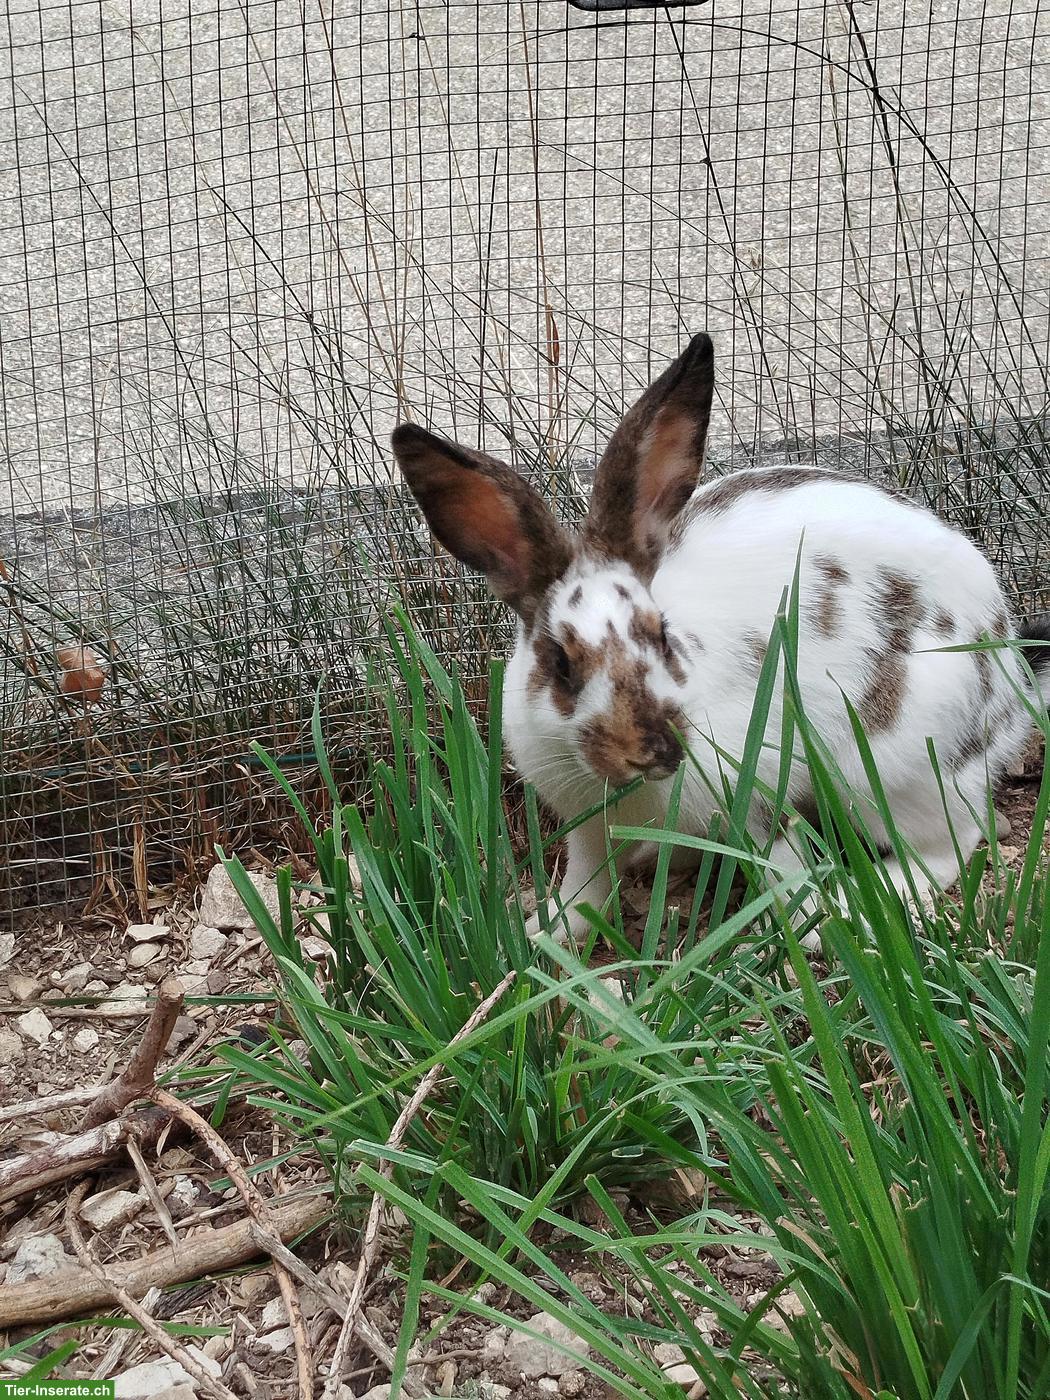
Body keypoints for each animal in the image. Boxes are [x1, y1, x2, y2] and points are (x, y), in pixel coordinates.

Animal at [391, 334, 1048, 943]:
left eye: (662, 636)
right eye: (559, 662)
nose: (652, 752)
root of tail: (1010, 679)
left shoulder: (756, 795)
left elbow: (783, 863)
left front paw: (813, 926)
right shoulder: (587, 825)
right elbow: (587, 882)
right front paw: (548, 931)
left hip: (897, 771)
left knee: (956, 840)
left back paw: (884, 894)